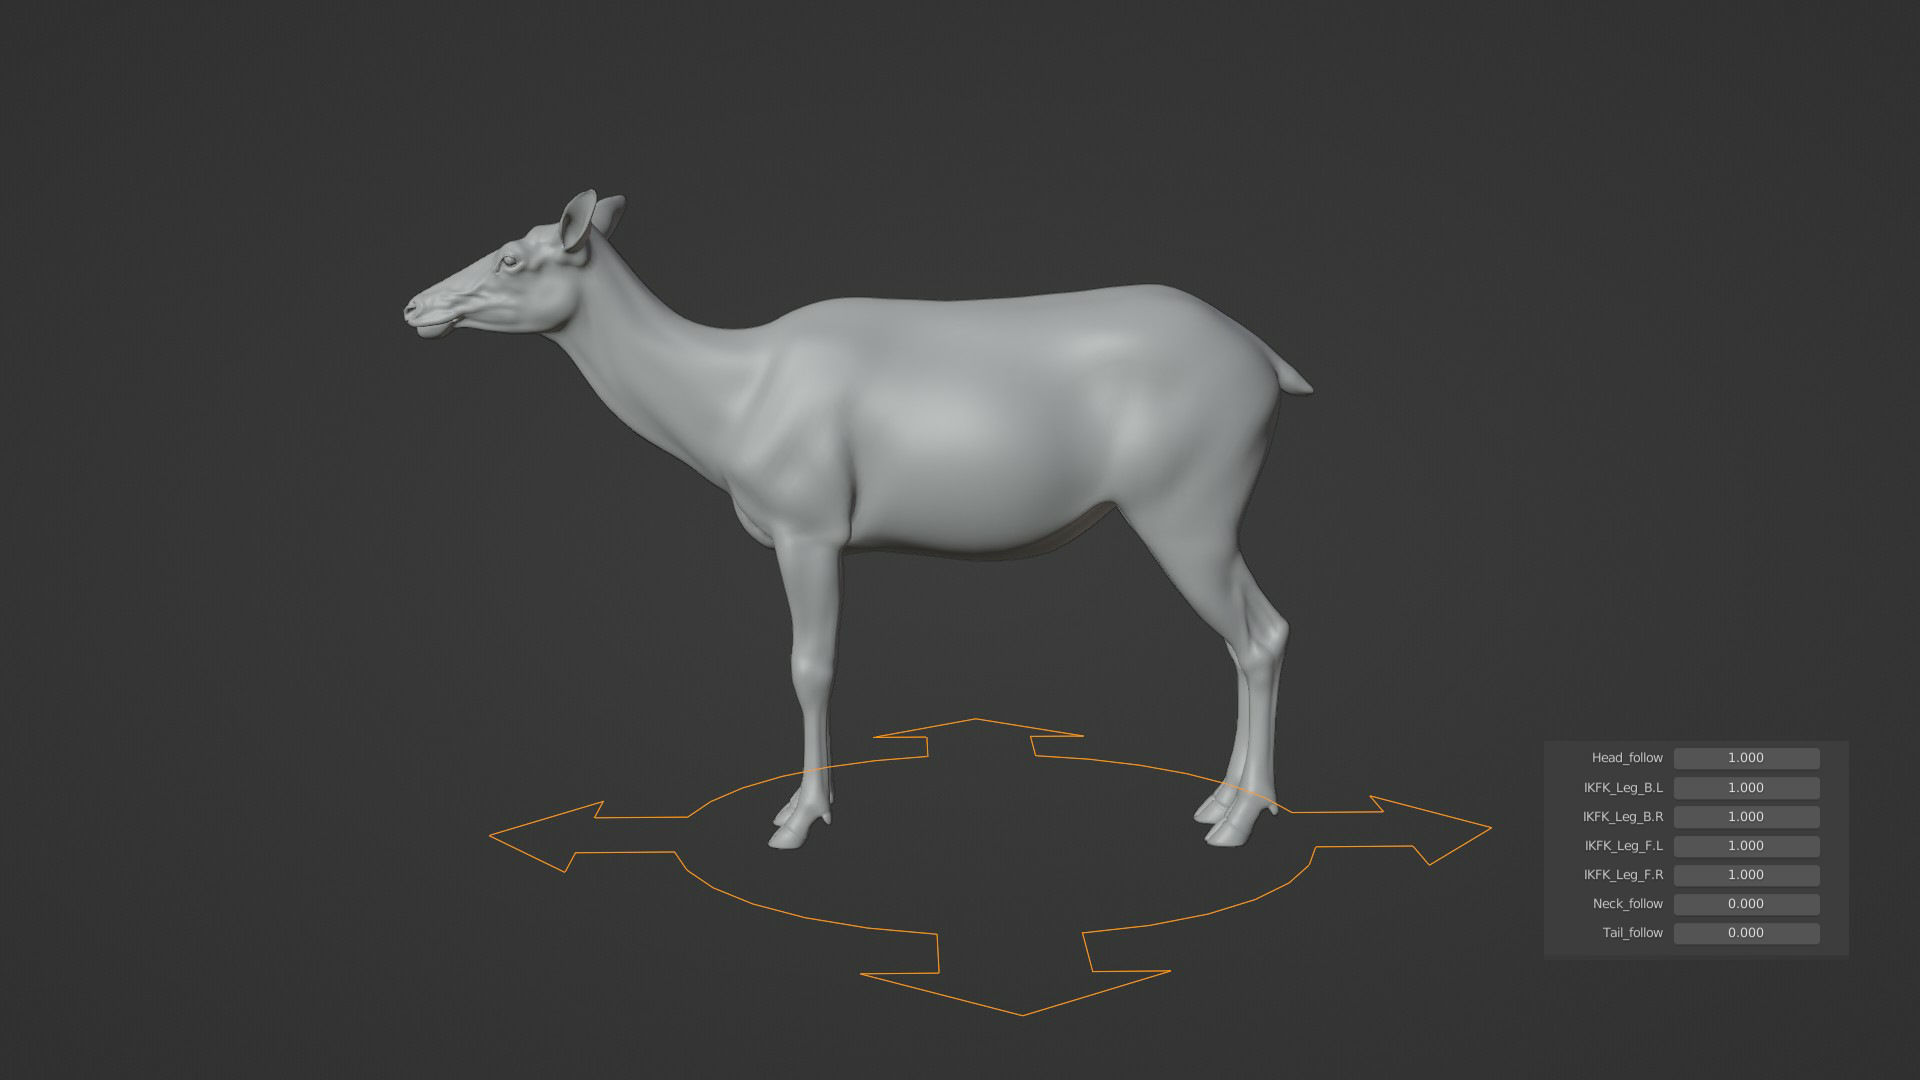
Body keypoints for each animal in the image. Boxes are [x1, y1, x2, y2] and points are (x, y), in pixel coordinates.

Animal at [404, 190, 1313, 850]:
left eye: (513, 256)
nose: (416, 307)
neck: (725, 406)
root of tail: (1271, 364)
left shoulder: (807, 525)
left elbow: (810, 667)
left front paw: (798, 819)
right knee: (1246, 638)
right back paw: (1220, 802)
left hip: (1190, 506)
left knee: (1261, 633)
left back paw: (1238, 821)